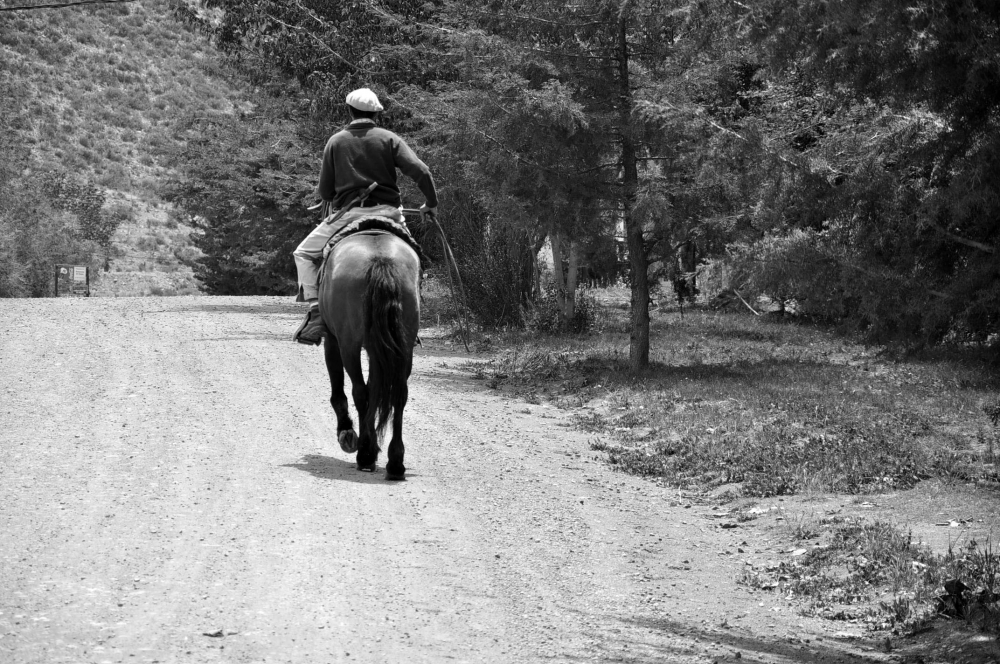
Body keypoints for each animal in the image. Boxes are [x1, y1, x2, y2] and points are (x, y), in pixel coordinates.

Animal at [316, 228, 418, 478]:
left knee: (359, 392)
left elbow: (341, 391)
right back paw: (395, 463)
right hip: (403, 345)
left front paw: (347, 433)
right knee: (399, 394)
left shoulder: (332, 339)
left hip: (349, 344)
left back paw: (365, 453)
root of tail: (380, 260)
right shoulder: (377, 348)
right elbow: (376, 387)